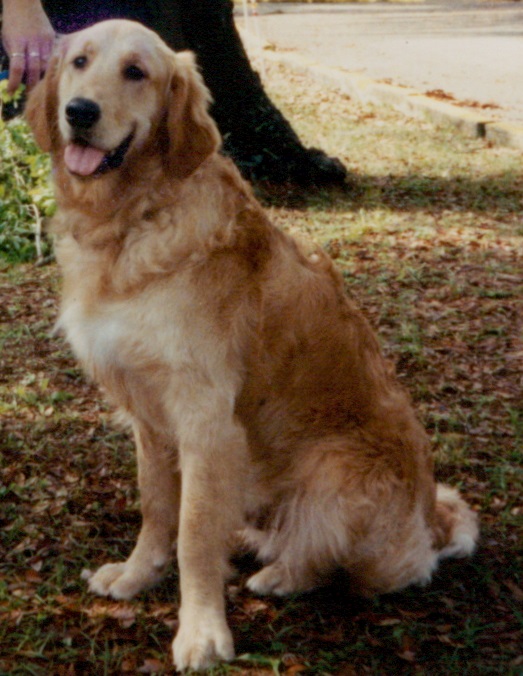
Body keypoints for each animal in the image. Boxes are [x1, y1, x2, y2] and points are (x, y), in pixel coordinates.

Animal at [27, 19, 478, 672]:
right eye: (79, 62)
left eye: (136, 72)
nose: (79, 111)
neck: (134, 217)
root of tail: (431, 521)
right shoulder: (148, 415)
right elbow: (158, 509)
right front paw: (137, 575)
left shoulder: (206, 417)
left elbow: (192, 534)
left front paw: (201, 632)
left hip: (332, 470)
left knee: (345, 559)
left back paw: (282, 574)